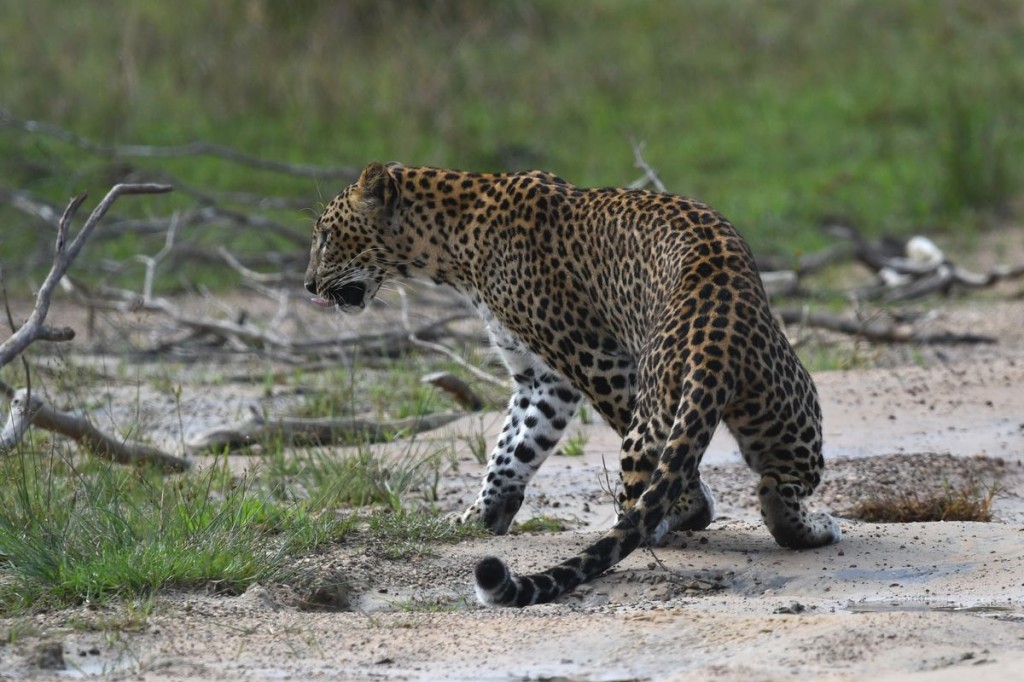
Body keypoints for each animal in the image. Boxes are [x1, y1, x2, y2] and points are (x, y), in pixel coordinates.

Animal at [304, 161, 842, 608]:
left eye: (326, 237)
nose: (308, 285)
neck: (451, 243)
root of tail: (717, 327)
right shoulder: (542, 378)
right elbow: (512, 448)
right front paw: (481, 515)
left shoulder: (594, 358)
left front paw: (692, 507)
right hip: (780, 406)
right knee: (775, 486)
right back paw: (806, 527)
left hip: (678, 398)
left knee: (657, 481)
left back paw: (664, 520)